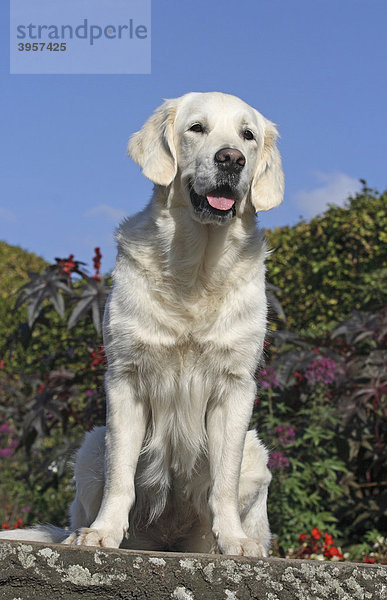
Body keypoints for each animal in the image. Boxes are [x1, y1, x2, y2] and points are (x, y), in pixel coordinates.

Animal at [0, 92, 284, 556]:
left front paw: (234, 540)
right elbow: (121, 473)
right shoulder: (126, 380)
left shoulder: (235, 387)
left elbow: (222, 480)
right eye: (197, 128)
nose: (232, 159)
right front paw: (102, 531)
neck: (195, 270)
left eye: (248, 135)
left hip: (257, 453)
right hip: (90, 446)